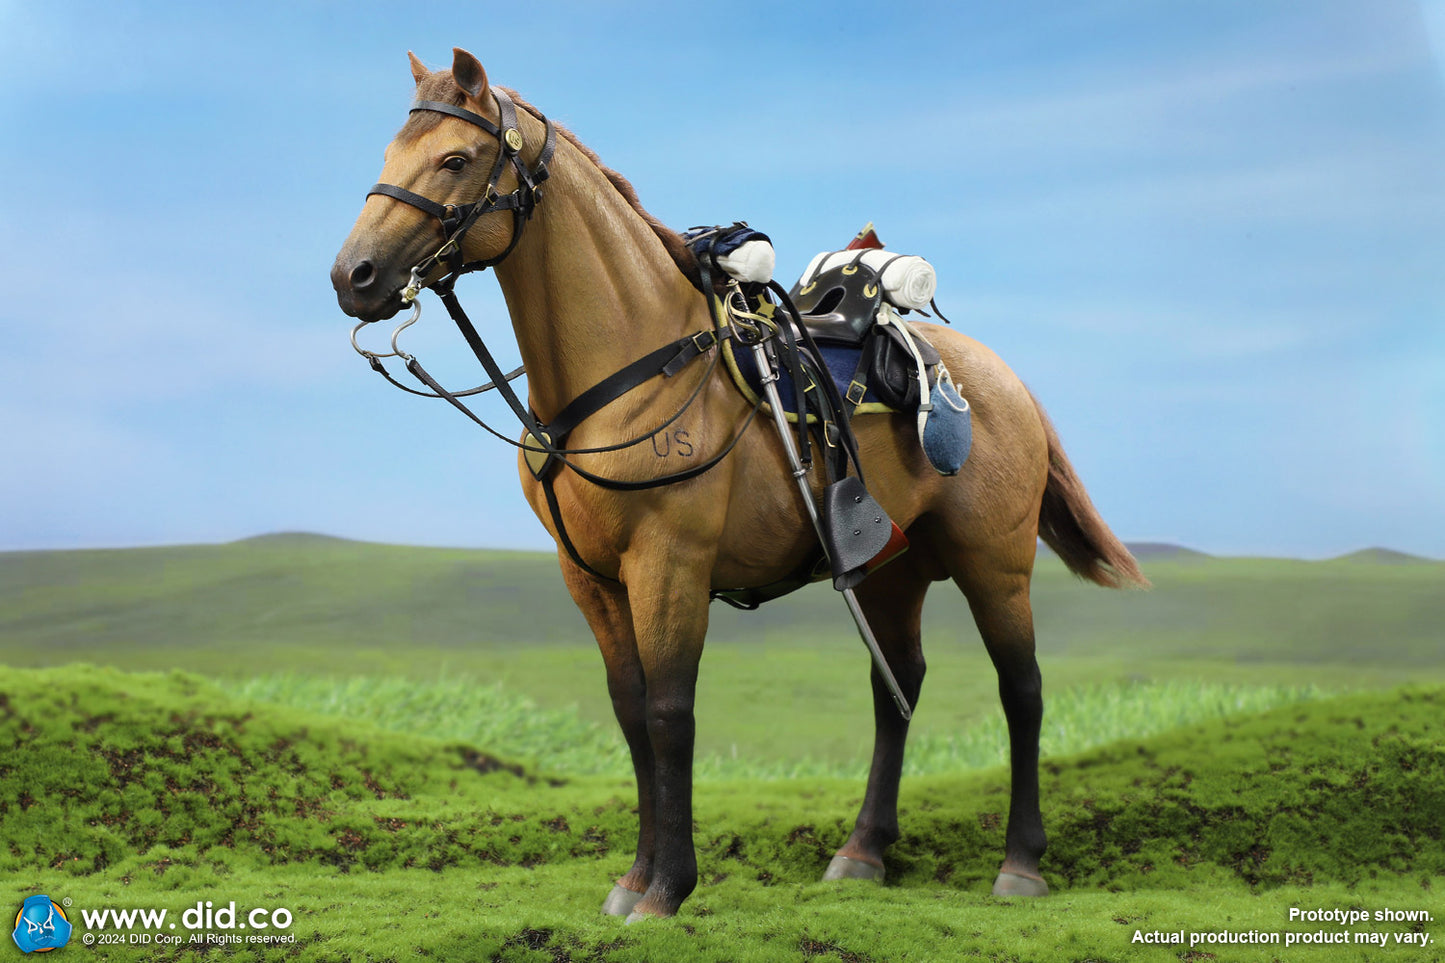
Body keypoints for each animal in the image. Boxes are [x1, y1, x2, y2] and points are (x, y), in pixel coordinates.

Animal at [332, 48, 1144, 919]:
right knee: (896, 686)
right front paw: (633, 878)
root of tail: (1004, 378)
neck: (627, 369)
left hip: (993, 562)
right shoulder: (590, 578)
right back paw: (861, 850)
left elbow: (669, 712)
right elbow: (629, 712)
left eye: (455, 158)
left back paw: (1019, 862)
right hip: (888, 571)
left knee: (1020, 688)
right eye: (391, 153)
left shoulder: (670, 563)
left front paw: (665, 890)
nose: (354, 276)